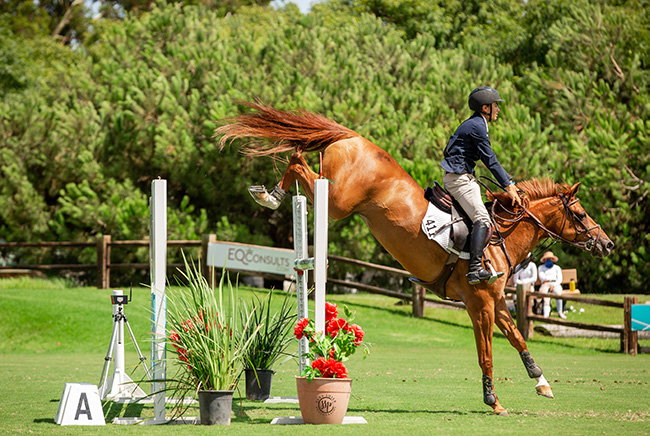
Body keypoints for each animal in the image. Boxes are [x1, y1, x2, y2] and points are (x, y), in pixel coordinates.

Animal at [215, 99, 612, 416]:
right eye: (580, 215)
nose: (606, 244)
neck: (501, 235)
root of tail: (352, 137)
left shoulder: (497, 301)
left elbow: (518, 338)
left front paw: (541, 381)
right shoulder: (479, 304)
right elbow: (486, 352)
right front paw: (493, 401)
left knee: (298, 164)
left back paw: (269, 193)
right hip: (338, 202)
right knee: (300, 165)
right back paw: (271, 194)